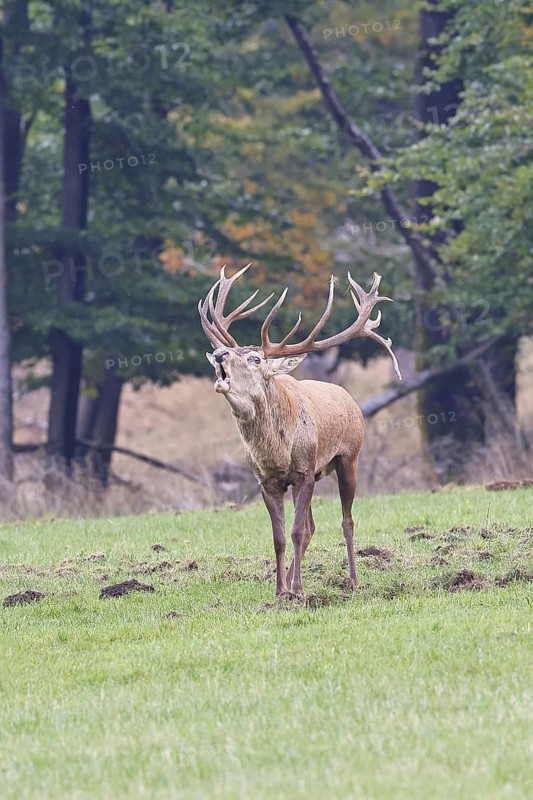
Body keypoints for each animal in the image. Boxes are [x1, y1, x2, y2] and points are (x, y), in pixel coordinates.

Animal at [198, 265, 402, 598]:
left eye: (255, 358)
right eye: (230, 351)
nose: (219, 355)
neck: (276, 453)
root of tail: (351, 400)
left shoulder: (304, 471)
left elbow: (296, 531)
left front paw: (297, 591)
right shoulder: (267, 481)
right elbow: (280, 536)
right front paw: (280, 591)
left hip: (349, 458)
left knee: (346, 520)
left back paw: (353, 580)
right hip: (314, 475)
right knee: (312, 527)